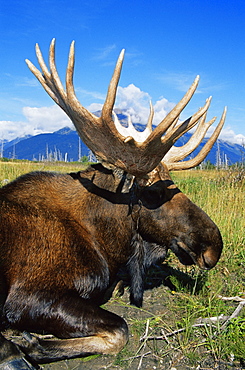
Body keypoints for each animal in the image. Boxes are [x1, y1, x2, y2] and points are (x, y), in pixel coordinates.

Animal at [0, 39, 226, 368]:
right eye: (153, 194)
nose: (214, 246)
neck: (104, 239)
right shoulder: (28, 295)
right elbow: (120, 329)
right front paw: (31, 344)